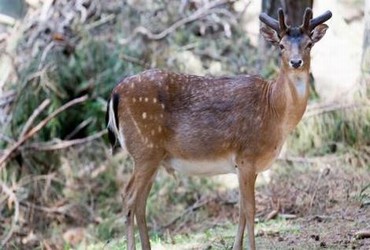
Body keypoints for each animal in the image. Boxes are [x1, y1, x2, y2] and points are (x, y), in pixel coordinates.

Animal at [105, 7, 330, 250]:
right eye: (281, 45)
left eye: (309, 44)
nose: (296, 62)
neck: (274, 112)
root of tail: (115, 93)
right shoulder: (247, 157)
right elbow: (250, 210)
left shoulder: (242, 166)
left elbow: (240, 210)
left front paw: (236, 247)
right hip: (145, 150)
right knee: (128, 197)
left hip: (152, 157)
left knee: (140, 202)